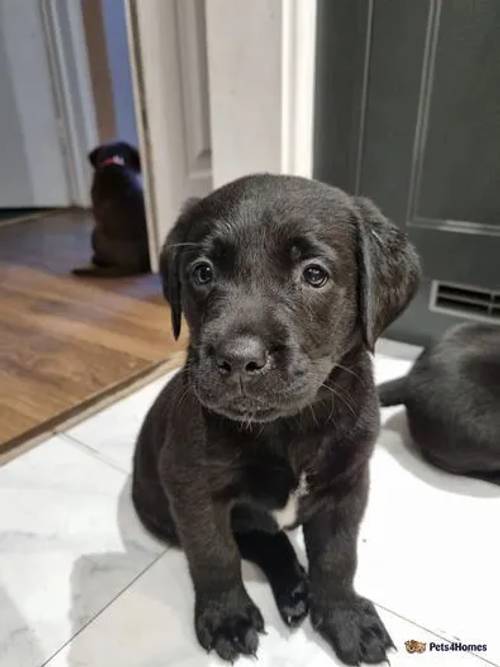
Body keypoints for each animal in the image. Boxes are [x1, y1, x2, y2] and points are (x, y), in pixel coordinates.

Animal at [131, 175, 420, 664]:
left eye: (314, 274)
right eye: (202, 272)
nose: (238, 359)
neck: (288, 427)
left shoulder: (348, 485)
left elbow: (338, 556)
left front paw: (344, 615)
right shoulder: (192, 486)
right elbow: (213, 552)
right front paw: (227, 616)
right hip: (157, 507)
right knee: (254, 539)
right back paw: (291, 589)